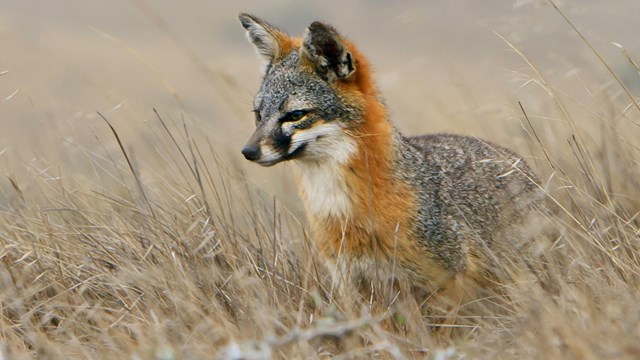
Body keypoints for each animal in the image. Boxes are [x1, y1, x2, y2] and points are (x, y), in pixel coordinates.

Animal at [238, 15, 552, 306]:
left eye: (295, 115)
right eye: (259, 115)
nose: (248, 152)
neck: (342, 211)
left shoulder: (446, 284)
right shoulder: (352, 285)